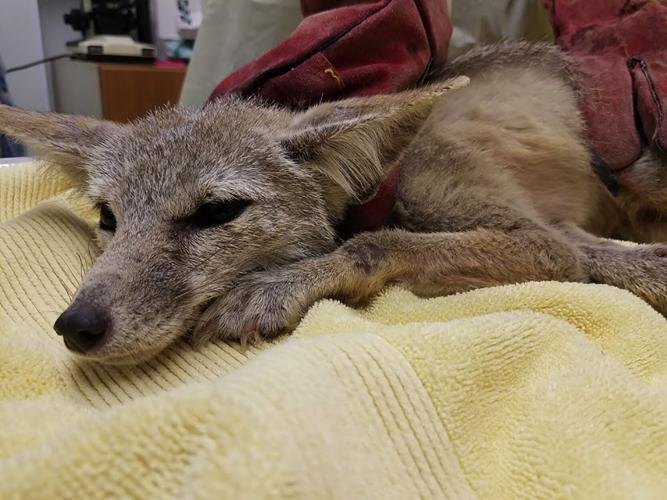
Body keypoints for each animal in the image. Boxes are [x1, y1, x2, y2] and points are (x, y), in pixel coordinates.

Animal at [1, 41, 666, 365]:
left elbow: (374, 241)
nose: (76, 326)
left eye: (217, 212)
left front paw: (275, 287)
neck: (385, 180)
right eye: (109, 219)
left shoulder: (543, 243)